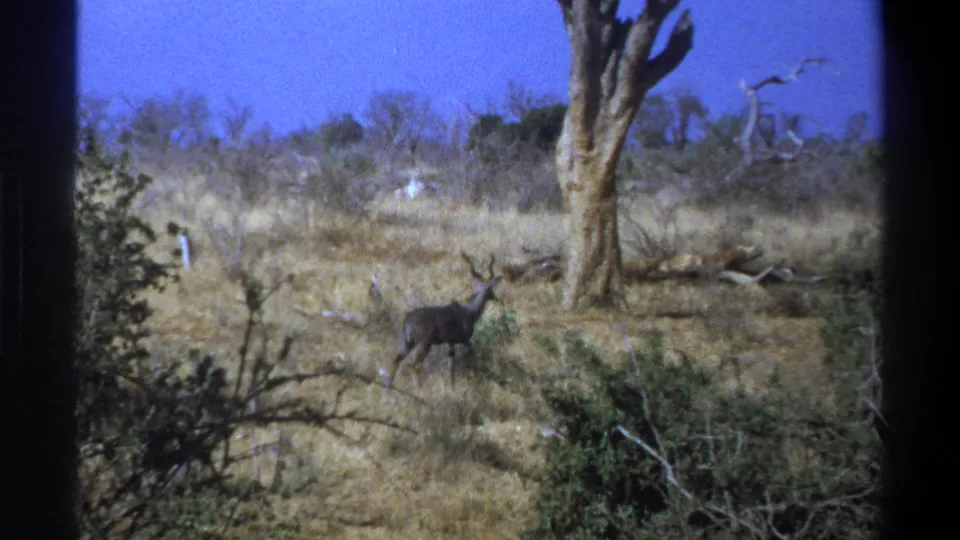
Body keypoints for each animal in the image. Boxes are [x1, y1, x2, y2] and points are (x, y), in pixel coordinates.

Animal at [384, 251, 503, 391]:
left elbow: (451, 367)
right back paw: (419, 389)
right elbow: (470, 353)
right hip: (425, 342)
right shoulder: (463, 339)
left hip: (409, 341)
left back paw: (389, 386)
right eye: (490, 289)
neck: (471, 312)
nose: (497, 298)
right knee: (415, 366)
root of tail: (407, 322)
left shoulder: (450, 342)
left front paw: (452, 388)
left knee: (396, 359)